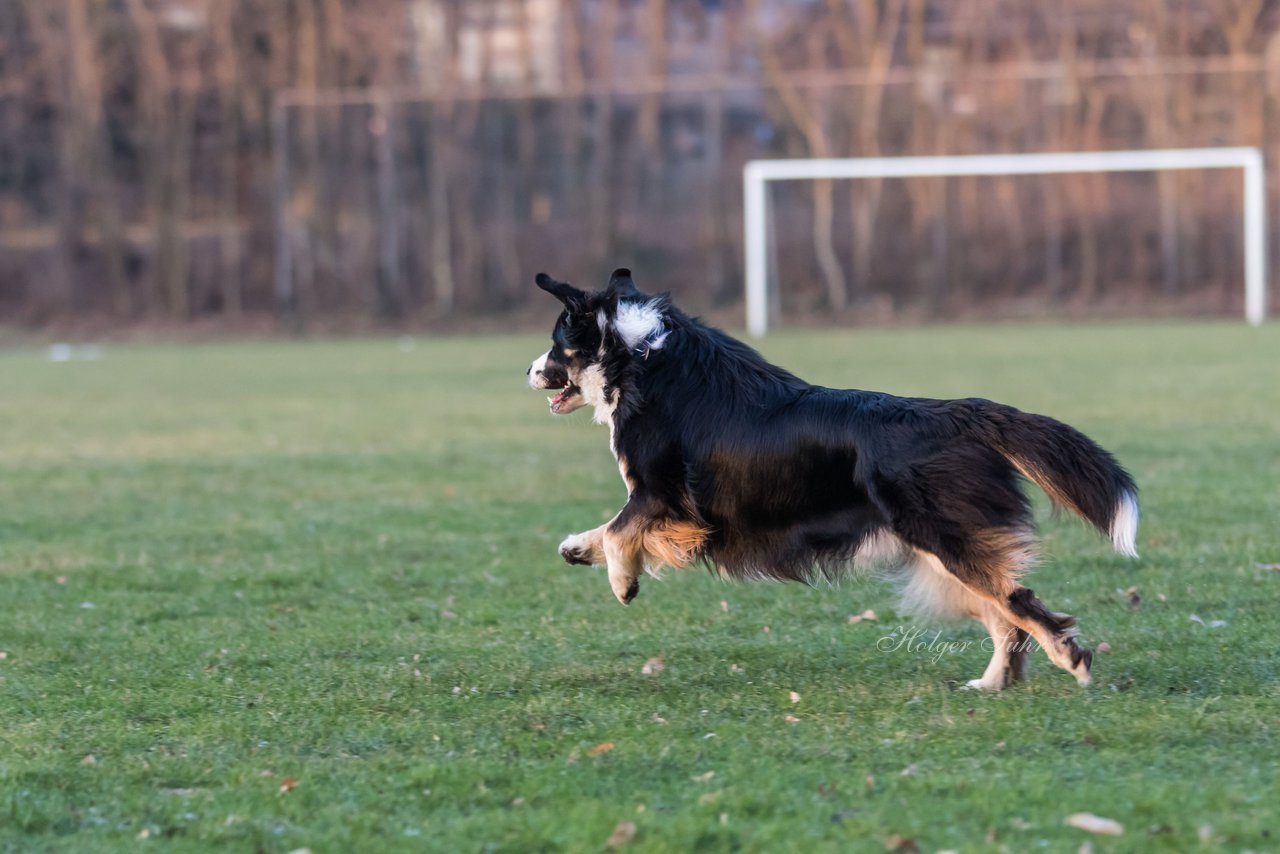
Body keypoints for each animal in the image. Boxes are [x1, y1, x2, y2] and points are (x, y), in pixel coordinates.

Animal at [527, 270, 1141, 691]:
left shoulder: (664, 495)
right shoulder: (670, 507)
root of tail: (958, 412)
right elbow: (606, 529)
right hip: (942, 557)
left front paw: (621, 581)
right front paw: (576, 548)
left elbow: (621, 529)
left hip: (945, 537)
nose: (528, 370)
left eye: (557, 344)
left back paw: (1072, 661)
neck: (638, 355)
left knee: (1021, 604)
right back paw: (991, 684)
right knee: (1005, 615)